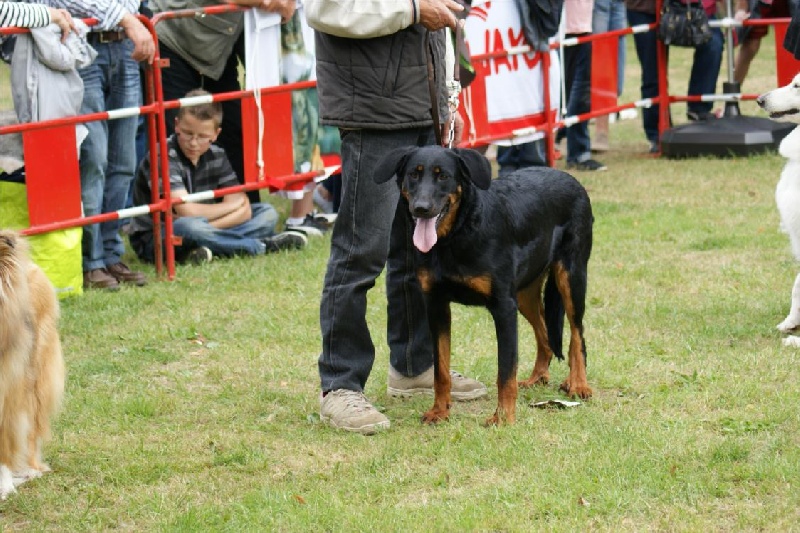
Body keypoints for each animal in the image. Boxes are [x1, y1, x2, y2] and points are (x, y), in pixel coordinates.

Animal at [376, 144, 592, 424]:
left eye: (443, 176)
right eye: (413, 174)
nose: (421, 208)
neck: (456, 235)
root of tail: (570, 178)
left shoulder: (503, 307)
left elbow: (505, 372)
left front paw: (503, 418)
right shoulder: (436, 305)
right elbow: (440, 370)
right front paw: (440, 411)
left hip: (571, 276)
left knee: (577, 335)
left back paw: (578, 384)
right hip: (524, 293)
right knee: (544, 333)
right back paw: (537, 377)